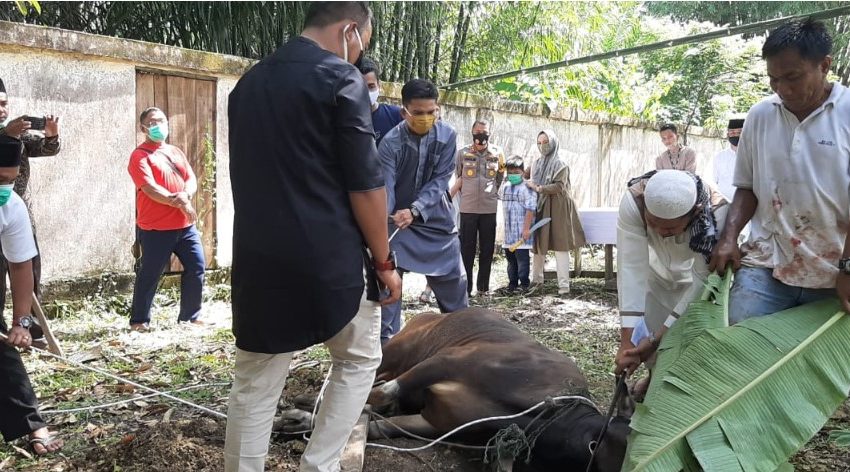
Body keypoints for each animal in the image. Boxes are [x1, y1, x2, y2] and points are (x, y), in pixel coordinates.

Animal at [278, 308, 628, 470]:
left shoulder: (438, 423)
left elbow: (380, 424)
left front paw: (300, 421)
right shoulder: (446, 362)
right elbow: (378, 396)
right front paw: (300, 416)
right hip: (395, 351)